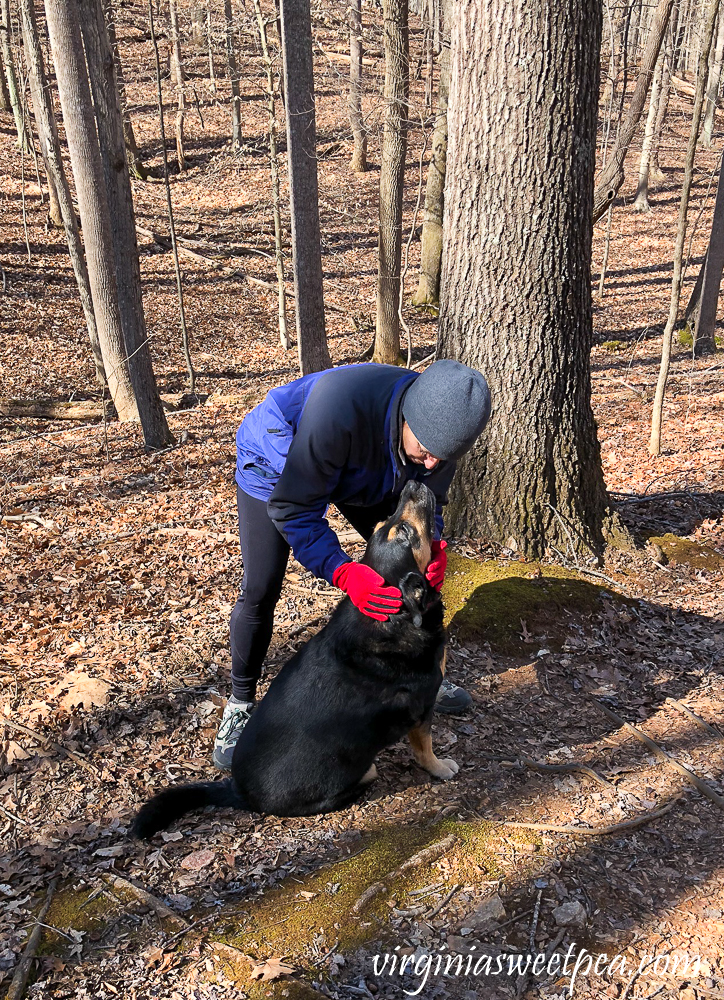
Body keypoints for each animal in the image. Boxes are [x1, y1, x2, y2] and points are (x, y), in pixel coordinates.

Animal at [132, 480, 458, 840]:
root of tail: (239, 791)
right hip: (362, 769)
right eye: (405, 533)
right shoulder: (421, 710)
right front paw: (441, 767)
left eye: (384, 524)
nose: (413, 483)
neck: (392, 618)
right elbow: (425, 748)